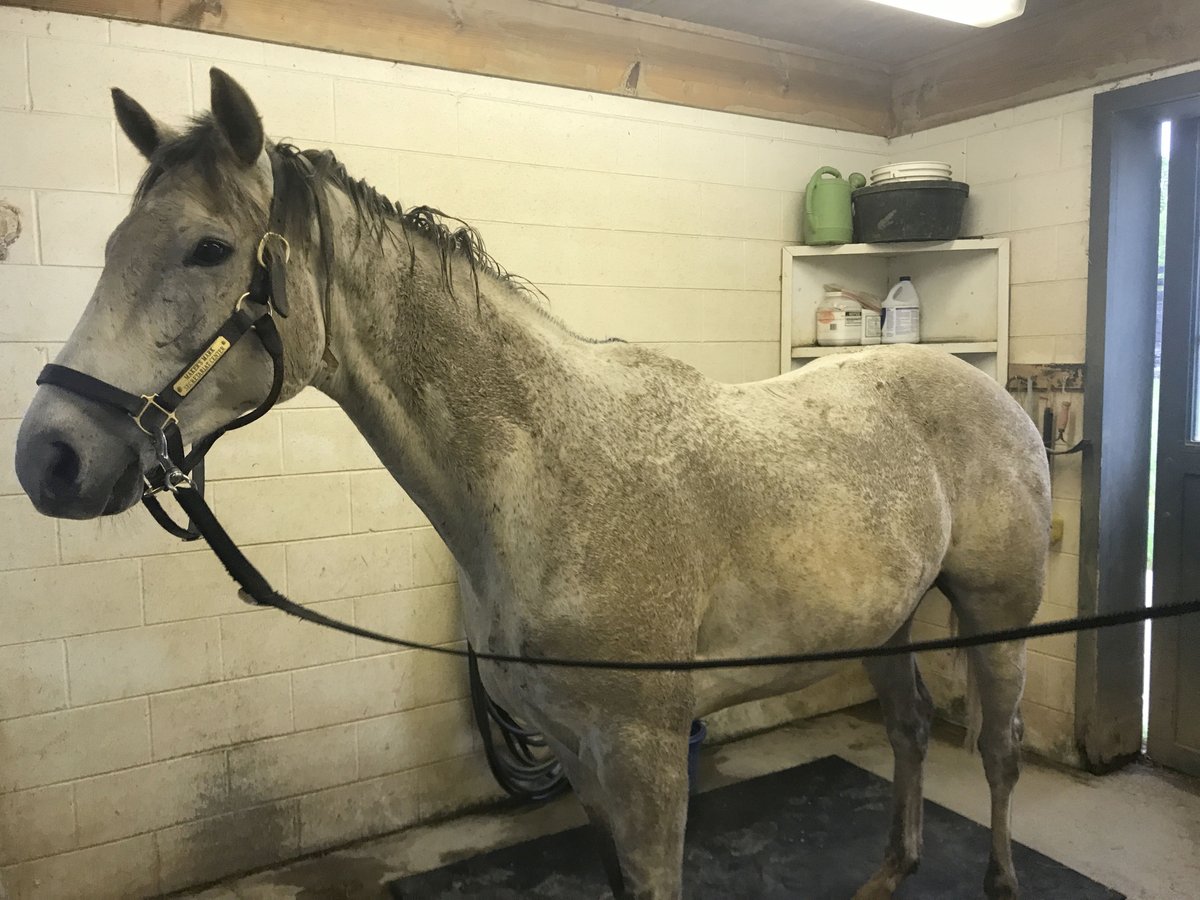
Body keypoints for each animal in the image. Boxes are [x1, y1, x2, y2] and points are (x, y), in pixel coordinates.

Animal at [14, 69, 1050, 900]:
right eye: (114, 244)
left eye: (208, 249)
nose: (48, 458)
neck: (549, 476)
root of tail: (992, 394)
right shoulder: (578, 753)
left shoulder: (646, 756)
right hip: (890, 621)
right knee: (911, 731)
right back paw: (891, 871)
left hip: (997, 616)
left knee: (998, 748)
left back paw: (999, 879)